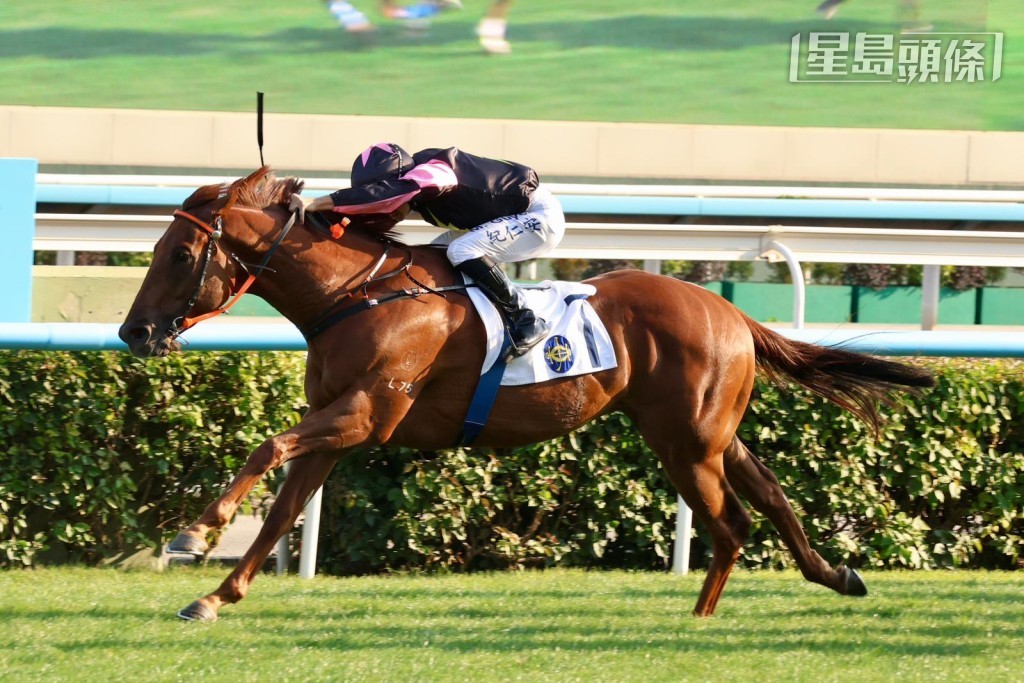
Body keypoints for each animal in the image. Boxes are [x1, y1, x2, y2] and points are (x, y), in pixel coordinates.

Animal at [119, 167, 934, 622]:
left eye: (181, 254)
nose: (134, 330)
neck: (357, 295)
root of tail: (731, 311)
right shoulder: (338, 424)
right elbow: (285, 505)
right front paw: (216, 594)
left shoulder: (365, 414)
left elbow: (268, 445)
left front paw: (192, 532)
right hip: (709, 433)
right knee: (769, 494)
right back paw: (834, 574)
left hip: (686, 442)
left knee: (731, 521)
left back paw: (699, 617)